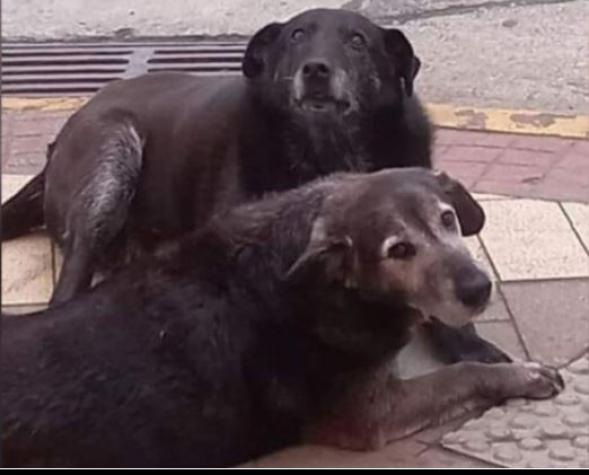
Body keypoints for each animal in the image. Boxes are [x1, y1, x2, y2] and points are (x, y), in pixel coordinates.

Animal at [0, 9, 506, 362]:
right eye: (297, 36)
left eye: (357, 41)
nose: (316, 69)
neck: (327, 147)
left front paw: (467, 343)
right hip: (114, 147)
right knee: (70, 283)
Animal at [0, 171, 564, 468]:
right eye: (398, 250)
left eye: (447, 219)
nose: (477, 288)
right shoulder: (371, 414)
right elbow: (460, 377)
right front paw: (521, 375)